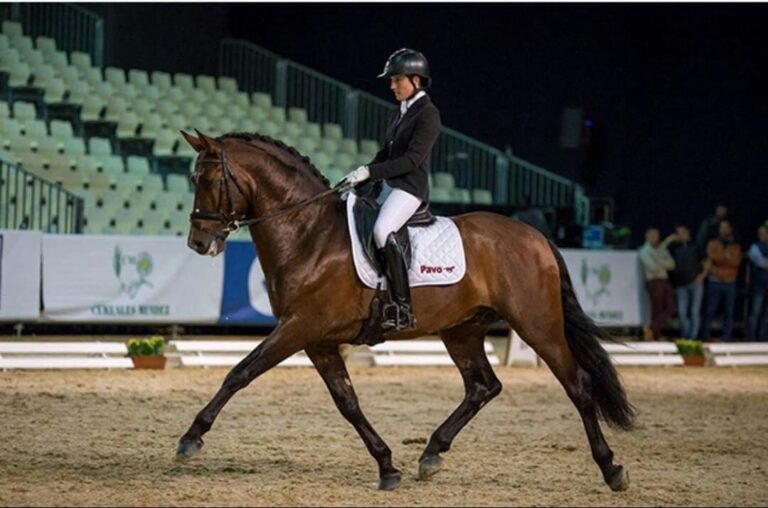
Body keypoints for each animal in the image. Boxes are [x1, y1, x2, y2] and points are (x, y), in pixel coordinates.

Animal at [175, 129, 636, 492]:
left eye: (210, 179)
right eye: (192, 179)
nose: (199, 243)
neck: (308, 234)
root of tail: (535, 236)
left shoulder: (299, 327)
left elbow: (240, 372)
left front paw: (191, 439)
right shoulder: (318, 339)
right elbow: (347, 402)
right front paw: (386, 465)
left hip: (536, 325)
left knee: (576, 384)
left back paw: (612, 469)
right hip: (462, 330)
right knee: (482, 386)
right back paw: (432, 453)